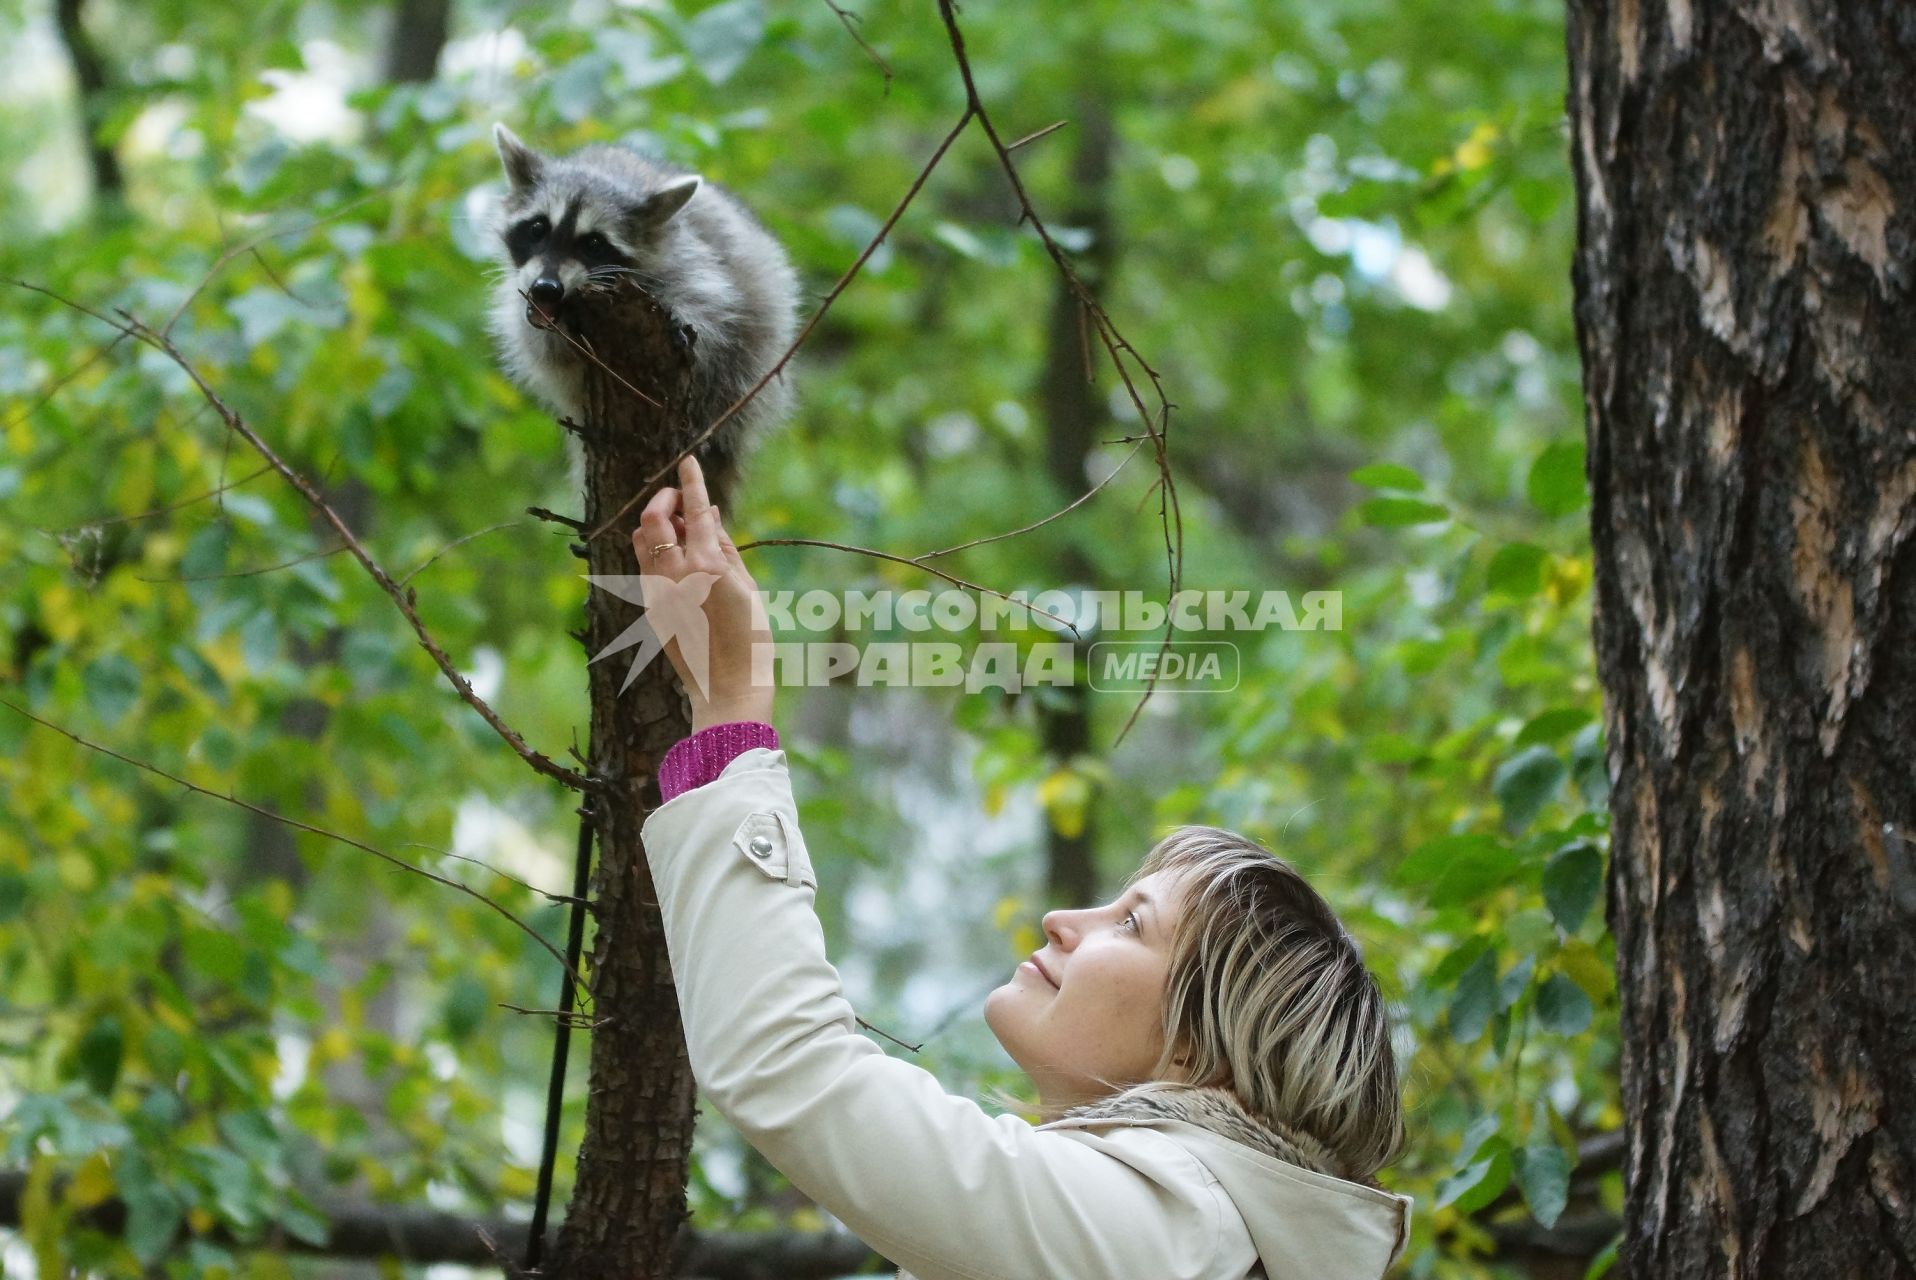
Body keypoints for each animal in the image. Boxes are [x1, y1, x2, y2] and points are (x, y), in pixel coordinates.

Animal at [490, 122, 804, 475]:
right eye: (538, 228)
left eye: (593, 244)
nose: (547, 288)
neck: (602, 171)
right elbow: (544, 348)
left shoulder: (691, 258)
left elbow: (710, 303)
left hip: (760, 342)